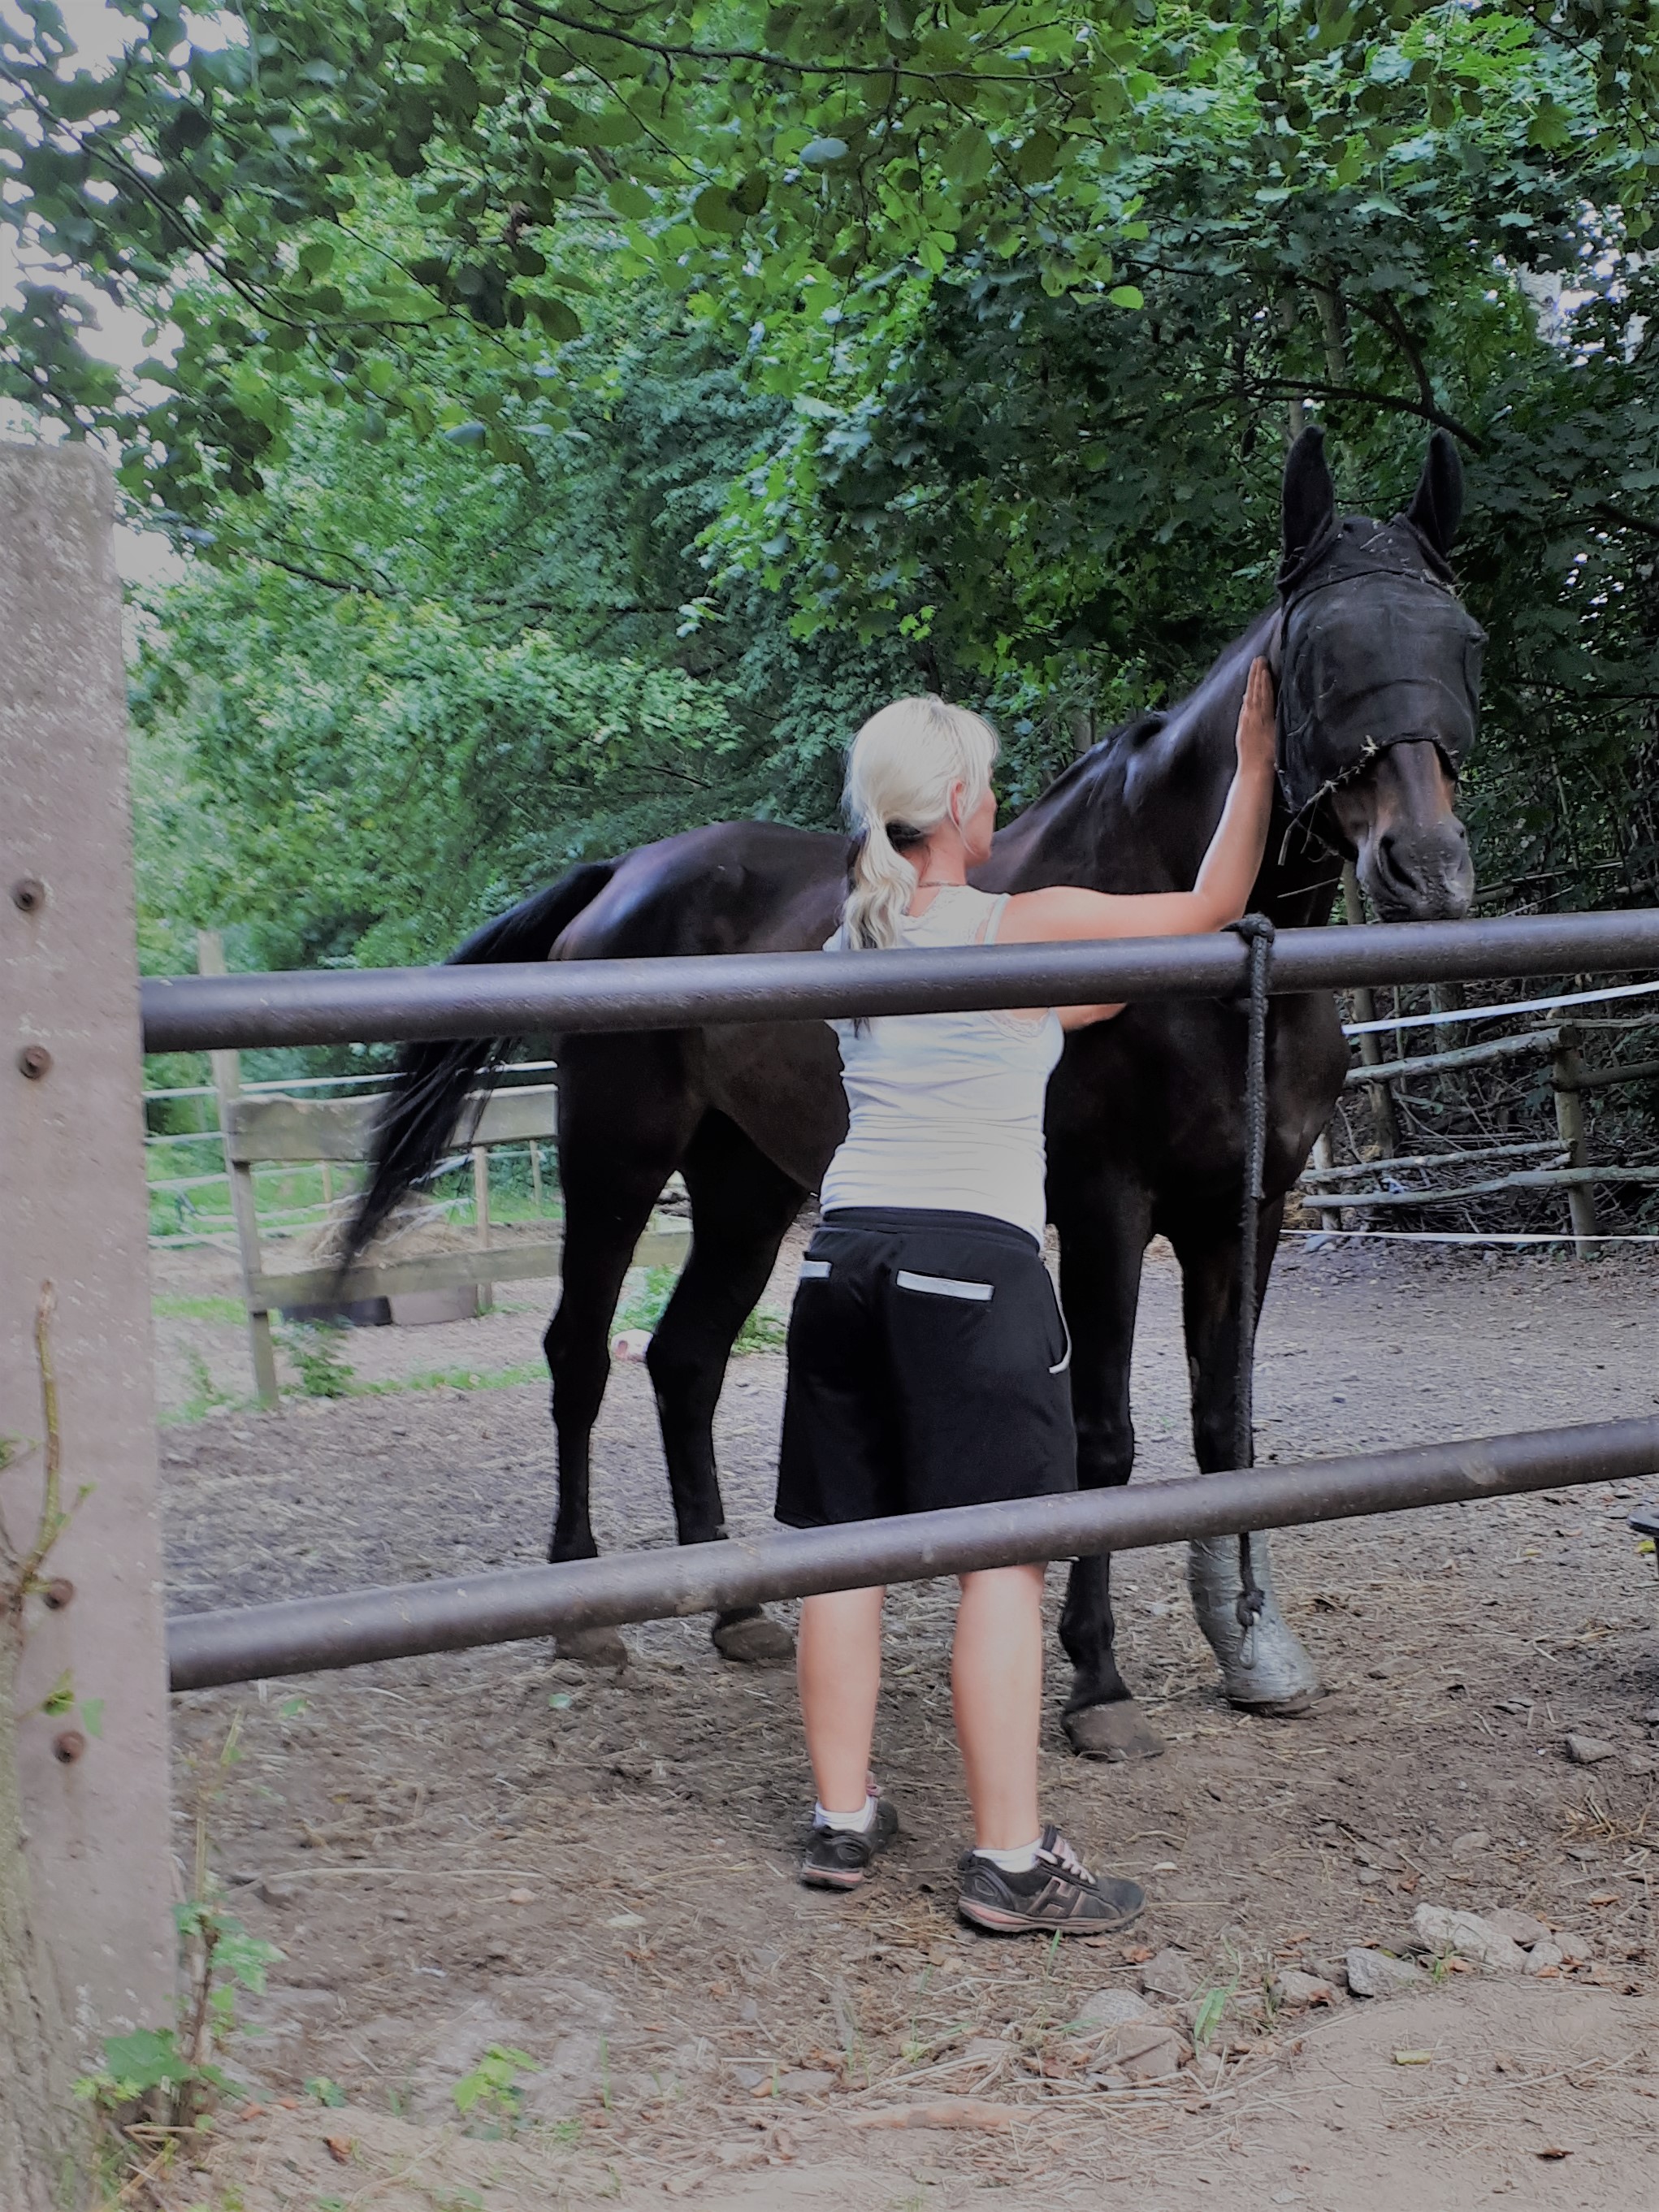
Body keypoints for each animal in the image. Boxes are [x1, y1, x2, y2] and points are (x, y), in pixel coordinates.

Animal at [347, 425, 1483, 1758]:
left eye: (1457, 642)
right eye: (1324, 653)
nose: (1425, 867)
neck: (1195, 948)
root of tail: (623, 875)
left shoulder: (1243, 1207)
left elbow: (1226, 1427)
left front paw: (1250, 1647)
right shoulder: (1104, 1204)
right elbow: (1102, 1437)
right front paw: (1095, 1682)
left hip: (746, 1186)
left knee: (684, 1358)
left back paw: (735, 1609)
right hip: (615, 1160)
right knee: (580, 1348)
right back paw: (584, 1611)